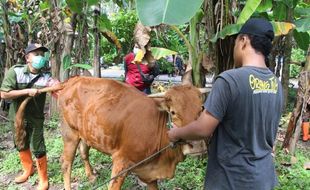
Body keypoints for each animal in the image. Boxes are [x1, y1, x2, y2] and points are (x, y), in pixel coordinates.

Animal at [17, 76, 207, 189]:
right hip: (70, 133)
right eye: (173, 112)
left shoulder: (151, 173)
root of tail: (71, 80)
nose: (197, 146)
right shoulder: (121, 163)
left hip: (87, 133)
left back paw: (91, 175)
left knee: (84, 151)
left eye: (201, 109)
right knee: (66, 163)